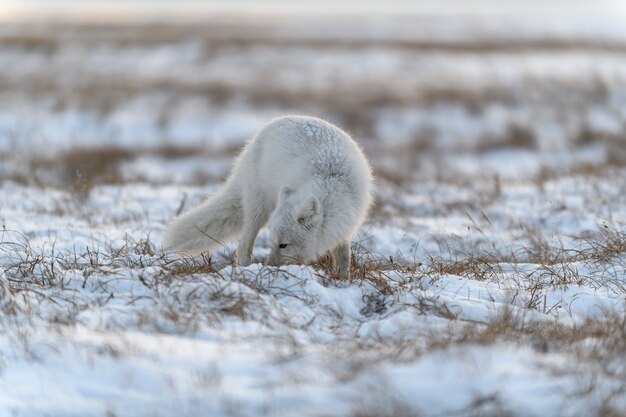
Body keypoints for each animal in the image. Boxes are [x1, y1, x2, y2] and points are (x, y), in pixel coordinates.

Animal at [163, 114, 372, 276]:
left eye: (283, 245)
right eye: (272, 243)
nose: (269, 266)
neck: (332, 180)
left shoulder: (345, 227)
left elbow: (344, 257)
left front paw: (343, 281)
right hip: (259, 209)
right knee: (243, 245)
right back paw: (244, 271)